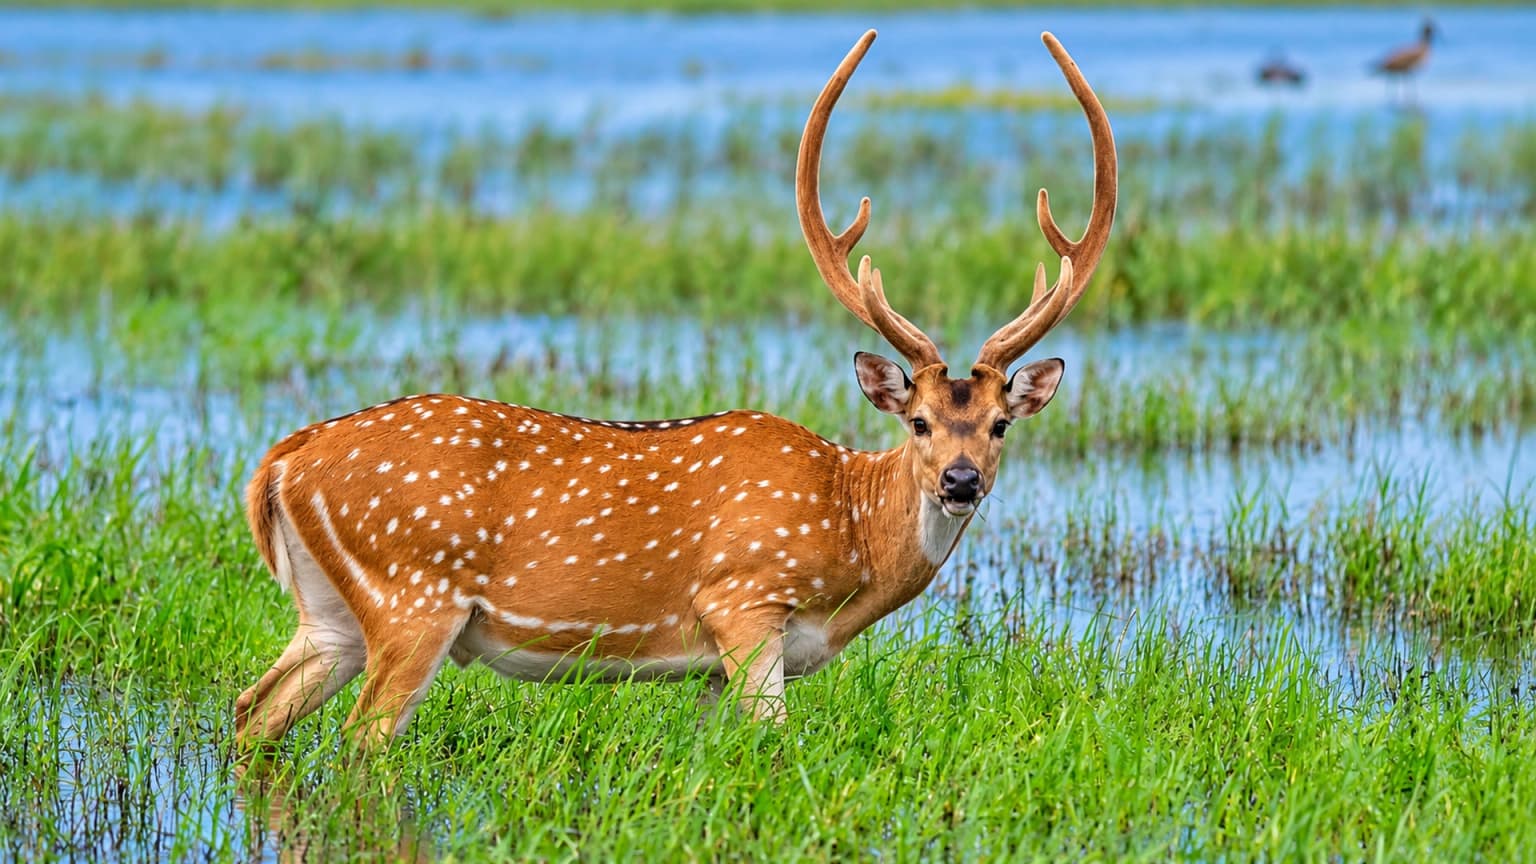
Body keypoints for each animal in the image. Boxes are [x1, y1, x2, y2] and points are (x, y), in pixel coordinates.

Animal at [233, 29, 1115, 750]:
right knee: (361, 746)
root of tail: (282, 463)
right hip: (413, 591)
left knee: (253, 711)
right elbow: (775, 749)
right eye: (920, 422)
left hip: (332, 614)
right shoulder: (746, 599)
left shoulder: (716, 667)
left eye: (1001, 423)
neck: (849, 537)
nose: (961, 482)